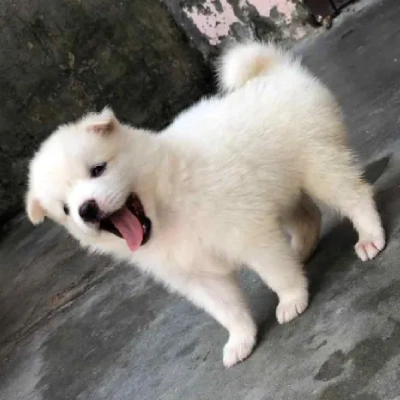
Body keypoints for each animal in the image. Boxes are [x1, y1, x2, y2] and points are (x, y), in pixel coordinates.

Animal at [24, 42, 384, 368]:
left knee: (353, 194)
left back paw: (369, 237)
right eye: (65, 209)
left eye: (97, 169)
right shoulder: (196, 276)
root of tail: (277, 71)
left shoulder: (249, 233)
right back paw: (302, 252)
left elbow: (276, 272)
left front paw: (292, 298)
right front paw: (240, 340)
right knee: (307, 215)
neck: (167, 203)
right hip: (279, 186)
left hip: (318, 162)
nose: (86, 209)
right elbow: (226, 309)